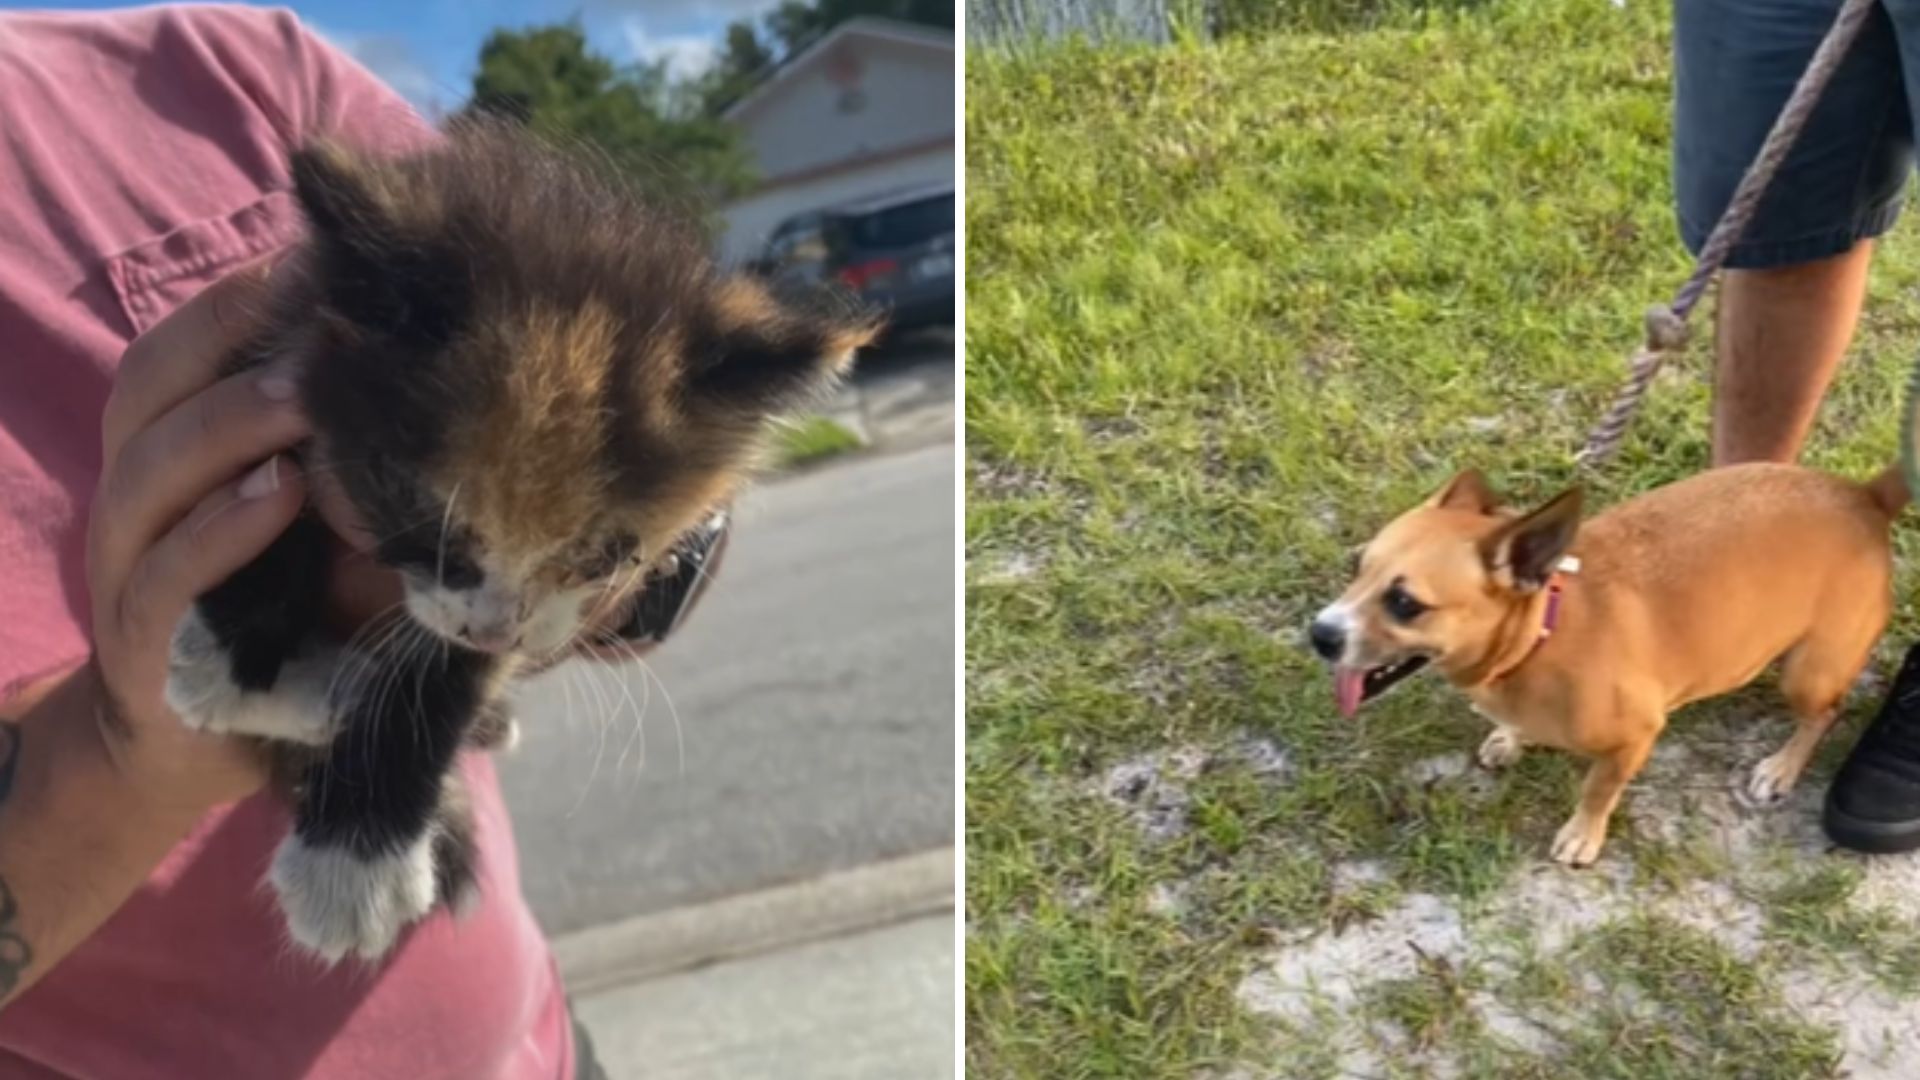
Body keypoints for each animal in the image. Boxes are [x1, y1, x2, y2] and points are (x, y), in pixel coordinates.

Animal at [161, 119, 879, 957]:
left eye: (608, 554)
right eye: (416, 510)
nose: (493, 629)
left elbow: (443, 671)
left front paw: (353, 863)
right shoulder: (266, 363)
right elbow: (259, 500)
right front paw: (242, 671)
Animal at [1313, 463, 1896, 864]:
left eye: (1404, 603)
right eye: (1356, 566)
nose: (1318, 634)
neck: (1540, 639)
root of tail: (1864, 496)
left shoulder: (1633, 739)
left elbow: (1597, 790)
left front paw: (1582, 835)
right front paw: (1509, 737)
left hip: (1807, 675)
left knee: (1825, 714)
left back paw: (1782, 767)